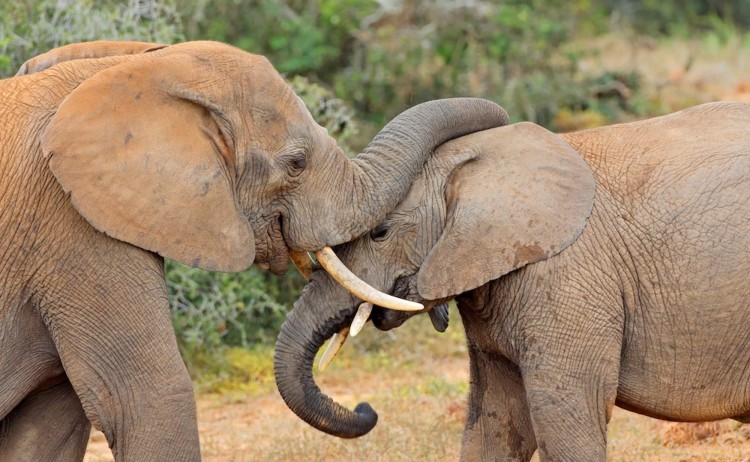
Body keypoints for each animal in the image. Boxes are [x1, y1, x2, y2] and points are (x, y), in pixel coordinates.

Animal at [274, 101, 750, 461]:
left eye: (381, 232)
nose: (366, 409)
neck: (480, 162)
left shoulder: (567, 282)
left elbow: (566, 418)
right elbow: (497, 423)